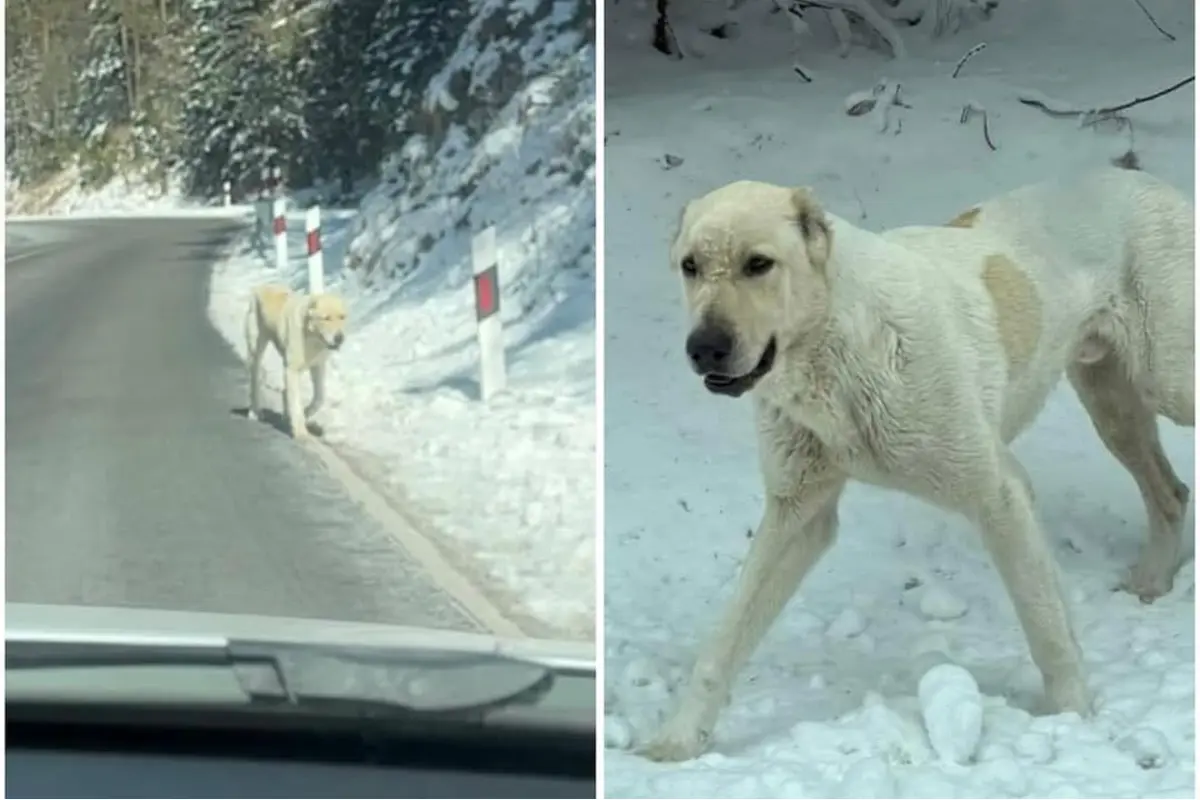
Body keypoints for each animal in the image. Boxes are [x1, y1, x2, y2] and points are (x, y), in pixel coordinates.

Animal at [242, 284, 348, 441]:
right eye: (326, 318)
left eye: (342, 317)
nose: (339, 338)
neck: (312, 335)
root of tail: (262, 286)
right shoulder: (292, 369)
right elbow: (296, 402)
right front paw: (300, 432)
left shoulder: (318, 366)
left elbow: (320, 397)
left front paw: (306, 413)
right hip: (256, 350)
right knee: (255, 381)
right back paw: (255, 412)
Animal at [648, 165, 1200, 762]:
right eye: (690, 266)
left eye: (758, 264)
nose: (704, 347)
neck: (834, 349)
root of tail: (1142, 178)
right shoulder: (798, 513)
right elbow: (725, 640)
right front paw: (677, 740)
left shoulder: (999, 492)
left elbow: (1045, 623)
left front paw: (1072, 720)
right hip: (1112, 403)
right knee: (1170, 492)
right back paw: (1154, 580)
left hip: (1169, 381)